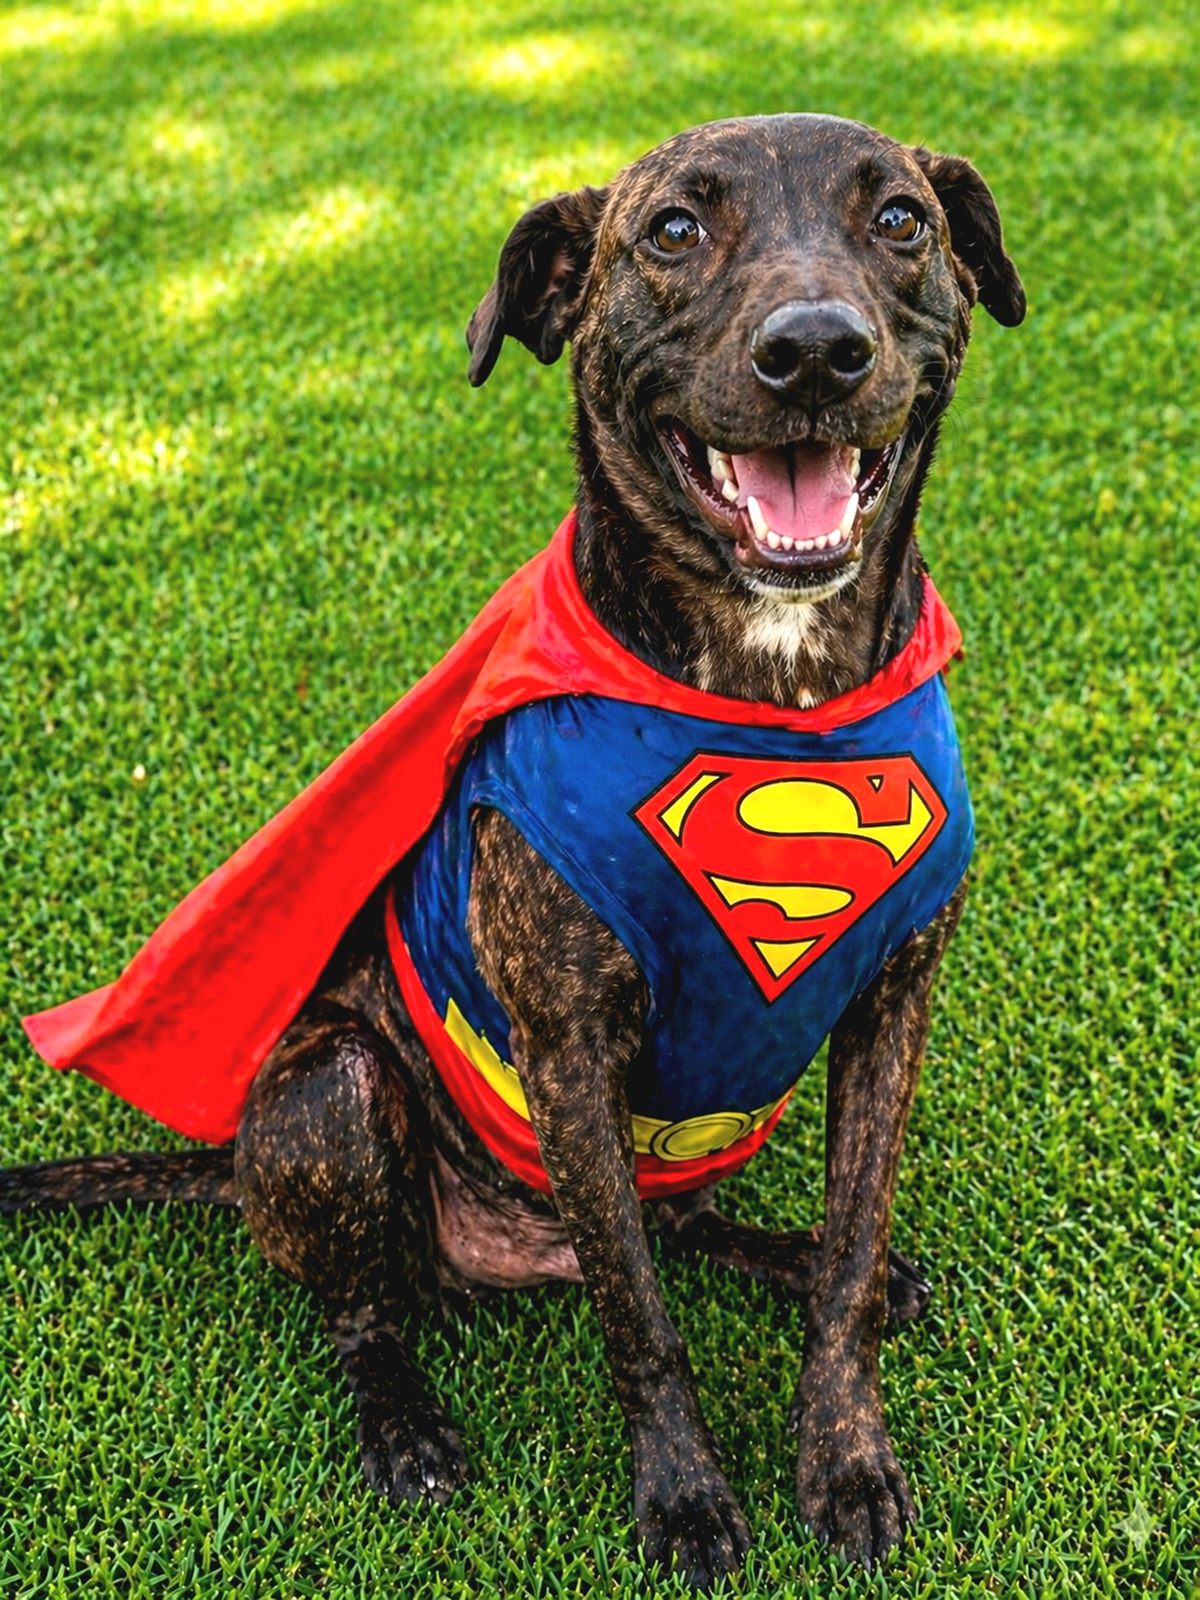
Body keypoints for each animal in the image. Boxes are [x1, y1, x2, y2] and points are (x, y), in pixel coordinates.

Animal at [5, 114, 1024, 1587]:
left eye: (899, 221)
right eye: (670, 232)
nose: (817, 350)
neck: (778, 698)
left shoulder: (893, 1007)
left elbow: (845, 1257)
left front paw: (842, 1454)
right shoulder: (567, 1045)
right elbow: (640, 1321)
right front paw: (684, 1497)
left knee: (694, 1230)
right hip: (334, 1093)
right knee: (373, 1309)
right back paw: (404, 1425)